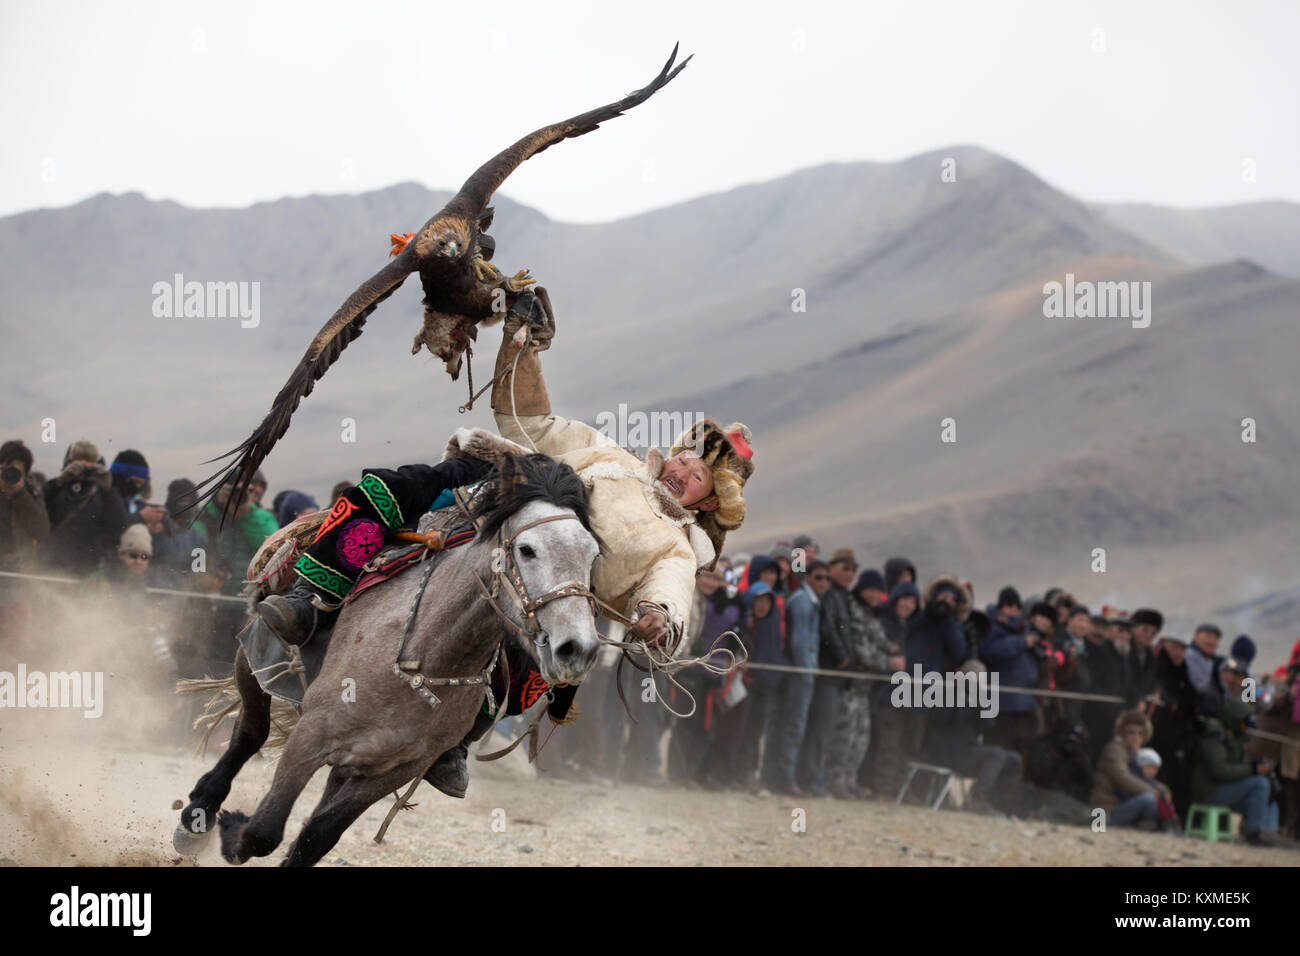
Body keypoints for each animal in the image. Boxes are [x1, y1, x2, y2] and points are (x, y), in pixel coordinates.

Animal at [175, 455, 600, 868]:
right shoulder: (311, 735)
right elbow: (265, 829)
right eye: (527, 550)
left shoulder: (395, 769)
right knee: (250, 731)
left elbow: (316, 837)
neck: (425, 658)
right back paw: (198, 815)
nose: (577, 648)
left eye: (592, 555)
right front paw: (232, 829)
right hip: (253, 658)